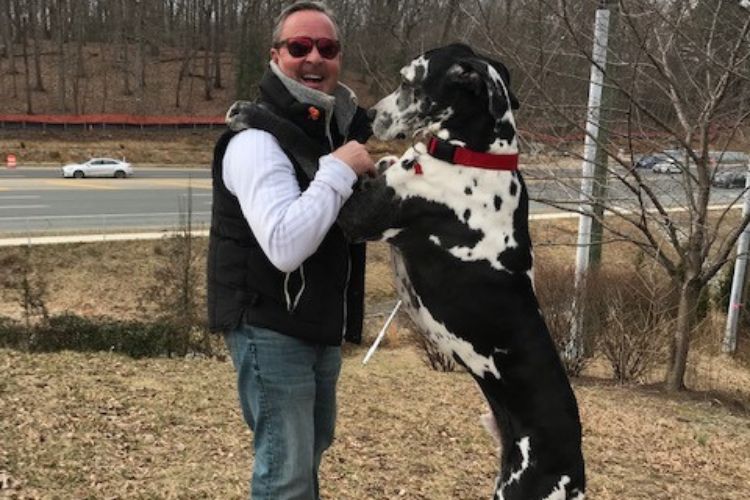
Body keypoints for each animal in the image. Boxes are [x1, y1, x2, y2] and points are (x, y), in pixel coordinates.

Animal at [226, 44, 584, 500]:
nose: (371, 115)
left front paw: (252, 113)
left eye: (407, 81)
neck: (475, 154)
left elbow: (308, 146)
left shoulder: (356, 213)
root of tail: (576, 473)